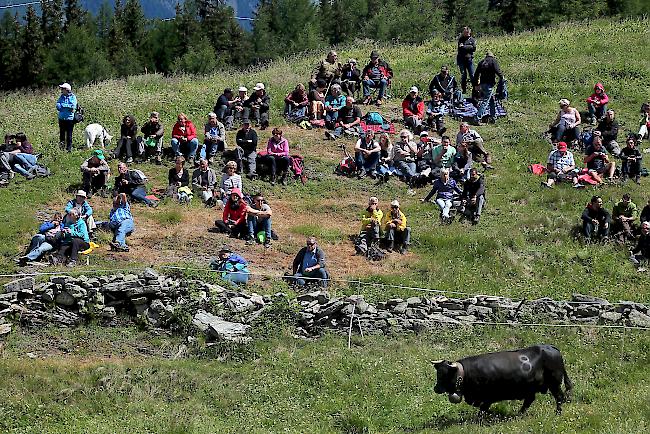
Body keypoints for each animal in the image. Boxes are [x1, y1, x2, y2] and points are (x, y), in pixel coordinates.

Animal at [432, 344, 568, 416]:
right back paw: (520, 414)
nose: (436, 388)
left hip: (554, 383)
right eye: (438, 373)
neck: (466, 374)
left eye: (445, 374)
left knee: (559, 397)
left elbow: (483, 408)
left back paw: (558, 413)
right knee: (529, 400)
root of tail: (550, 347)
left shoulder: (488, 396)